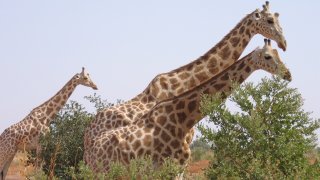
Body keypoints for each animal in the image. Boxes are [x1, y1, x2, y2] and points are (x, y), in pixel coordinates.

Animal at [85, 38, 292, 172]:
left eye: (278, 54)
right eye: (267, 56)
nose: (288, 74)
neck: (183, 121)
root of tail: (91, 144)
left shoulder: (179, 169)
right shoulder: (166, 169)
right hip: (103, 172)